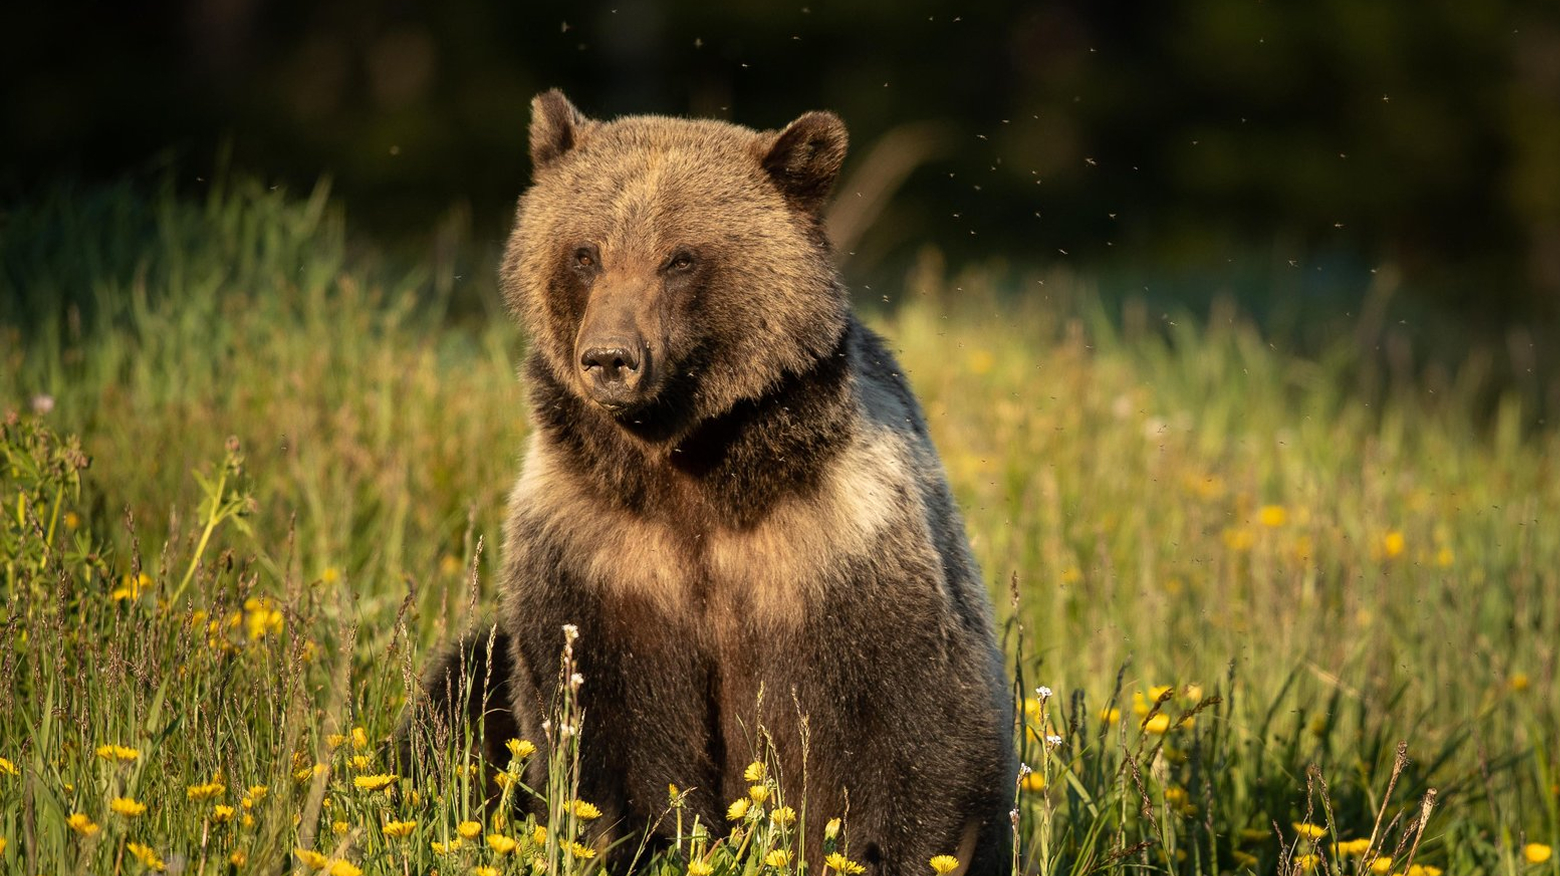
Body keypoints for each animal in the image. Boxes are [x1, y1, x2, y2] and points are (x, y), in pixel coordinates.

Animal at [407, 90, 1015, 876]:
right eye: (585, 252)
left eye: (680, 257)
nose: (611, 358)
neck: (693, 472)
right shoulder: (598, 549)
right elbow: (598, 729)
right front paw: (639, 840)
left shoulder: (840, 542)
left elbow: (913, 723)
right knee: (461, 685)